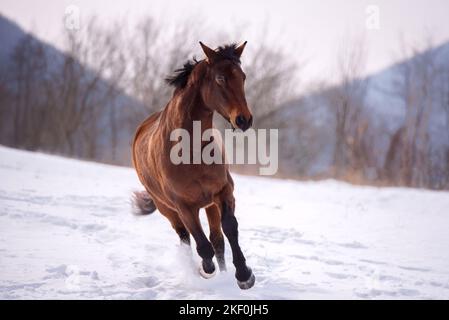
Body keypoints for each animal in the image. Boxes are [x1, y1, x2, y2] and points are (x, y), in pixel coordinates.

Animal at [131, 41, 254, 288]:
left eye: (242, 77)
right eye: (220, 78)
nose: (244, 119)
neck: (192, 151)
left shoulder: (223, 191)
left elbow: (229, 229)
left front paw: (244, 275)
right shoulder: (183, 206)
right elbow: (201, 244)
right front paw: (206, 270)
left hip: (209, 204)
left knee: (217, 239)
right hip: (167, 209)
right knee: (185, 238)